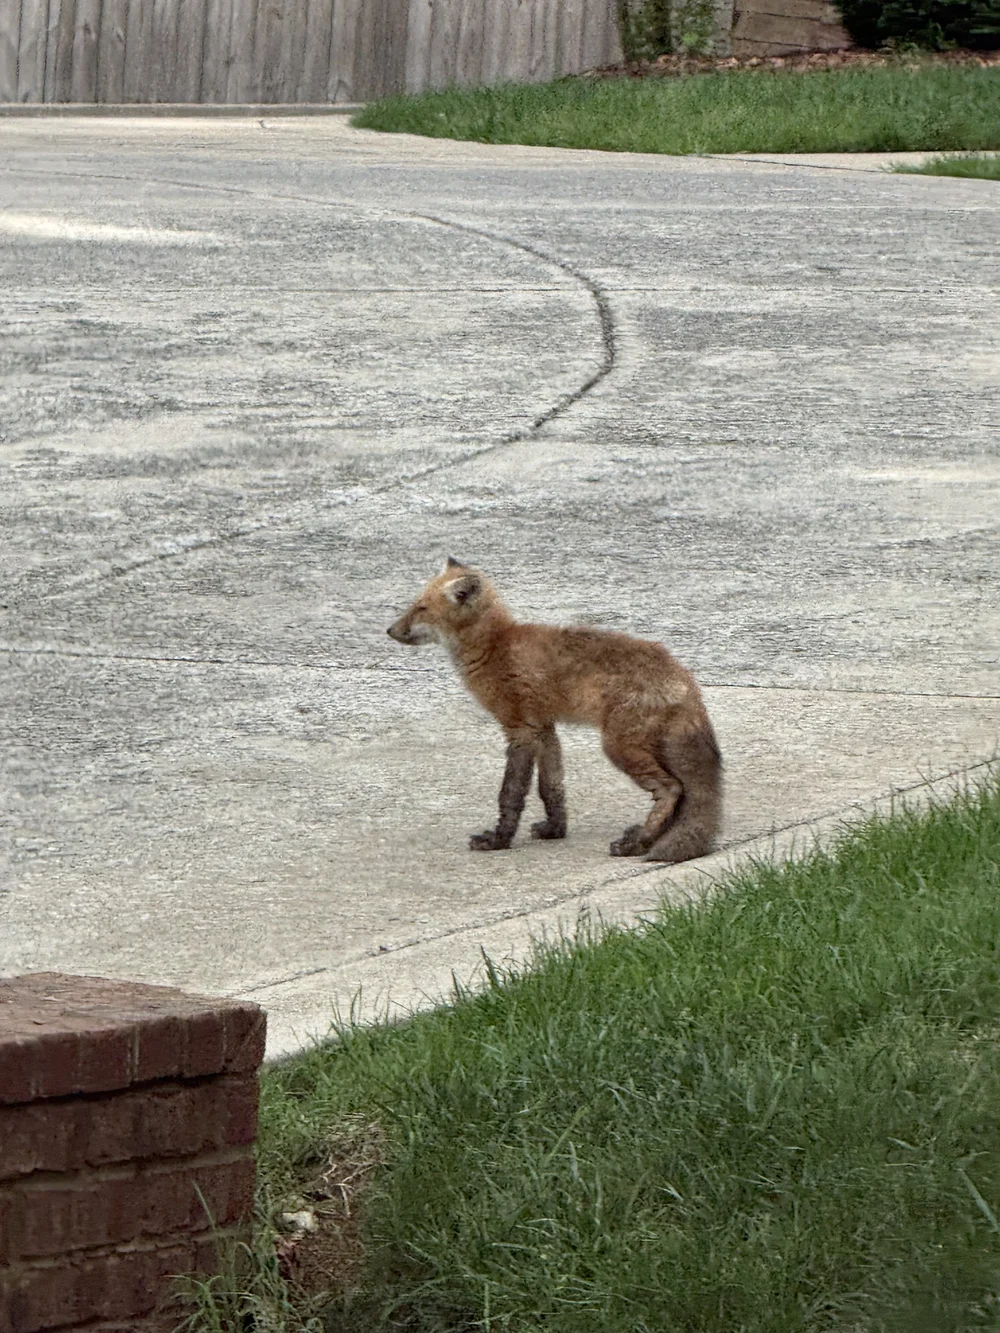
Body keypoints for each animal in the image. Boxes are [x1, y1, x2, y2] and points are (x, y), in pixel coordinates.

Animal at [387, 559, 722, 863]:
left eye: (421, 608)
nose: (390, 630)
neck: (495, 647)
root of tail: (685, 677)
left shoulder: (519, 730)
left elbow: (511, 793)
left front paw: (499, 839)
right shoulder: (544, 728)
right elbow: (551, 787)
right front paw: (555, 830)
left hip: (618, 747)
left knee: (672, 788)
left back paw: (639, 842)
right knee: (682, 793)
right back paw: (647, 838)